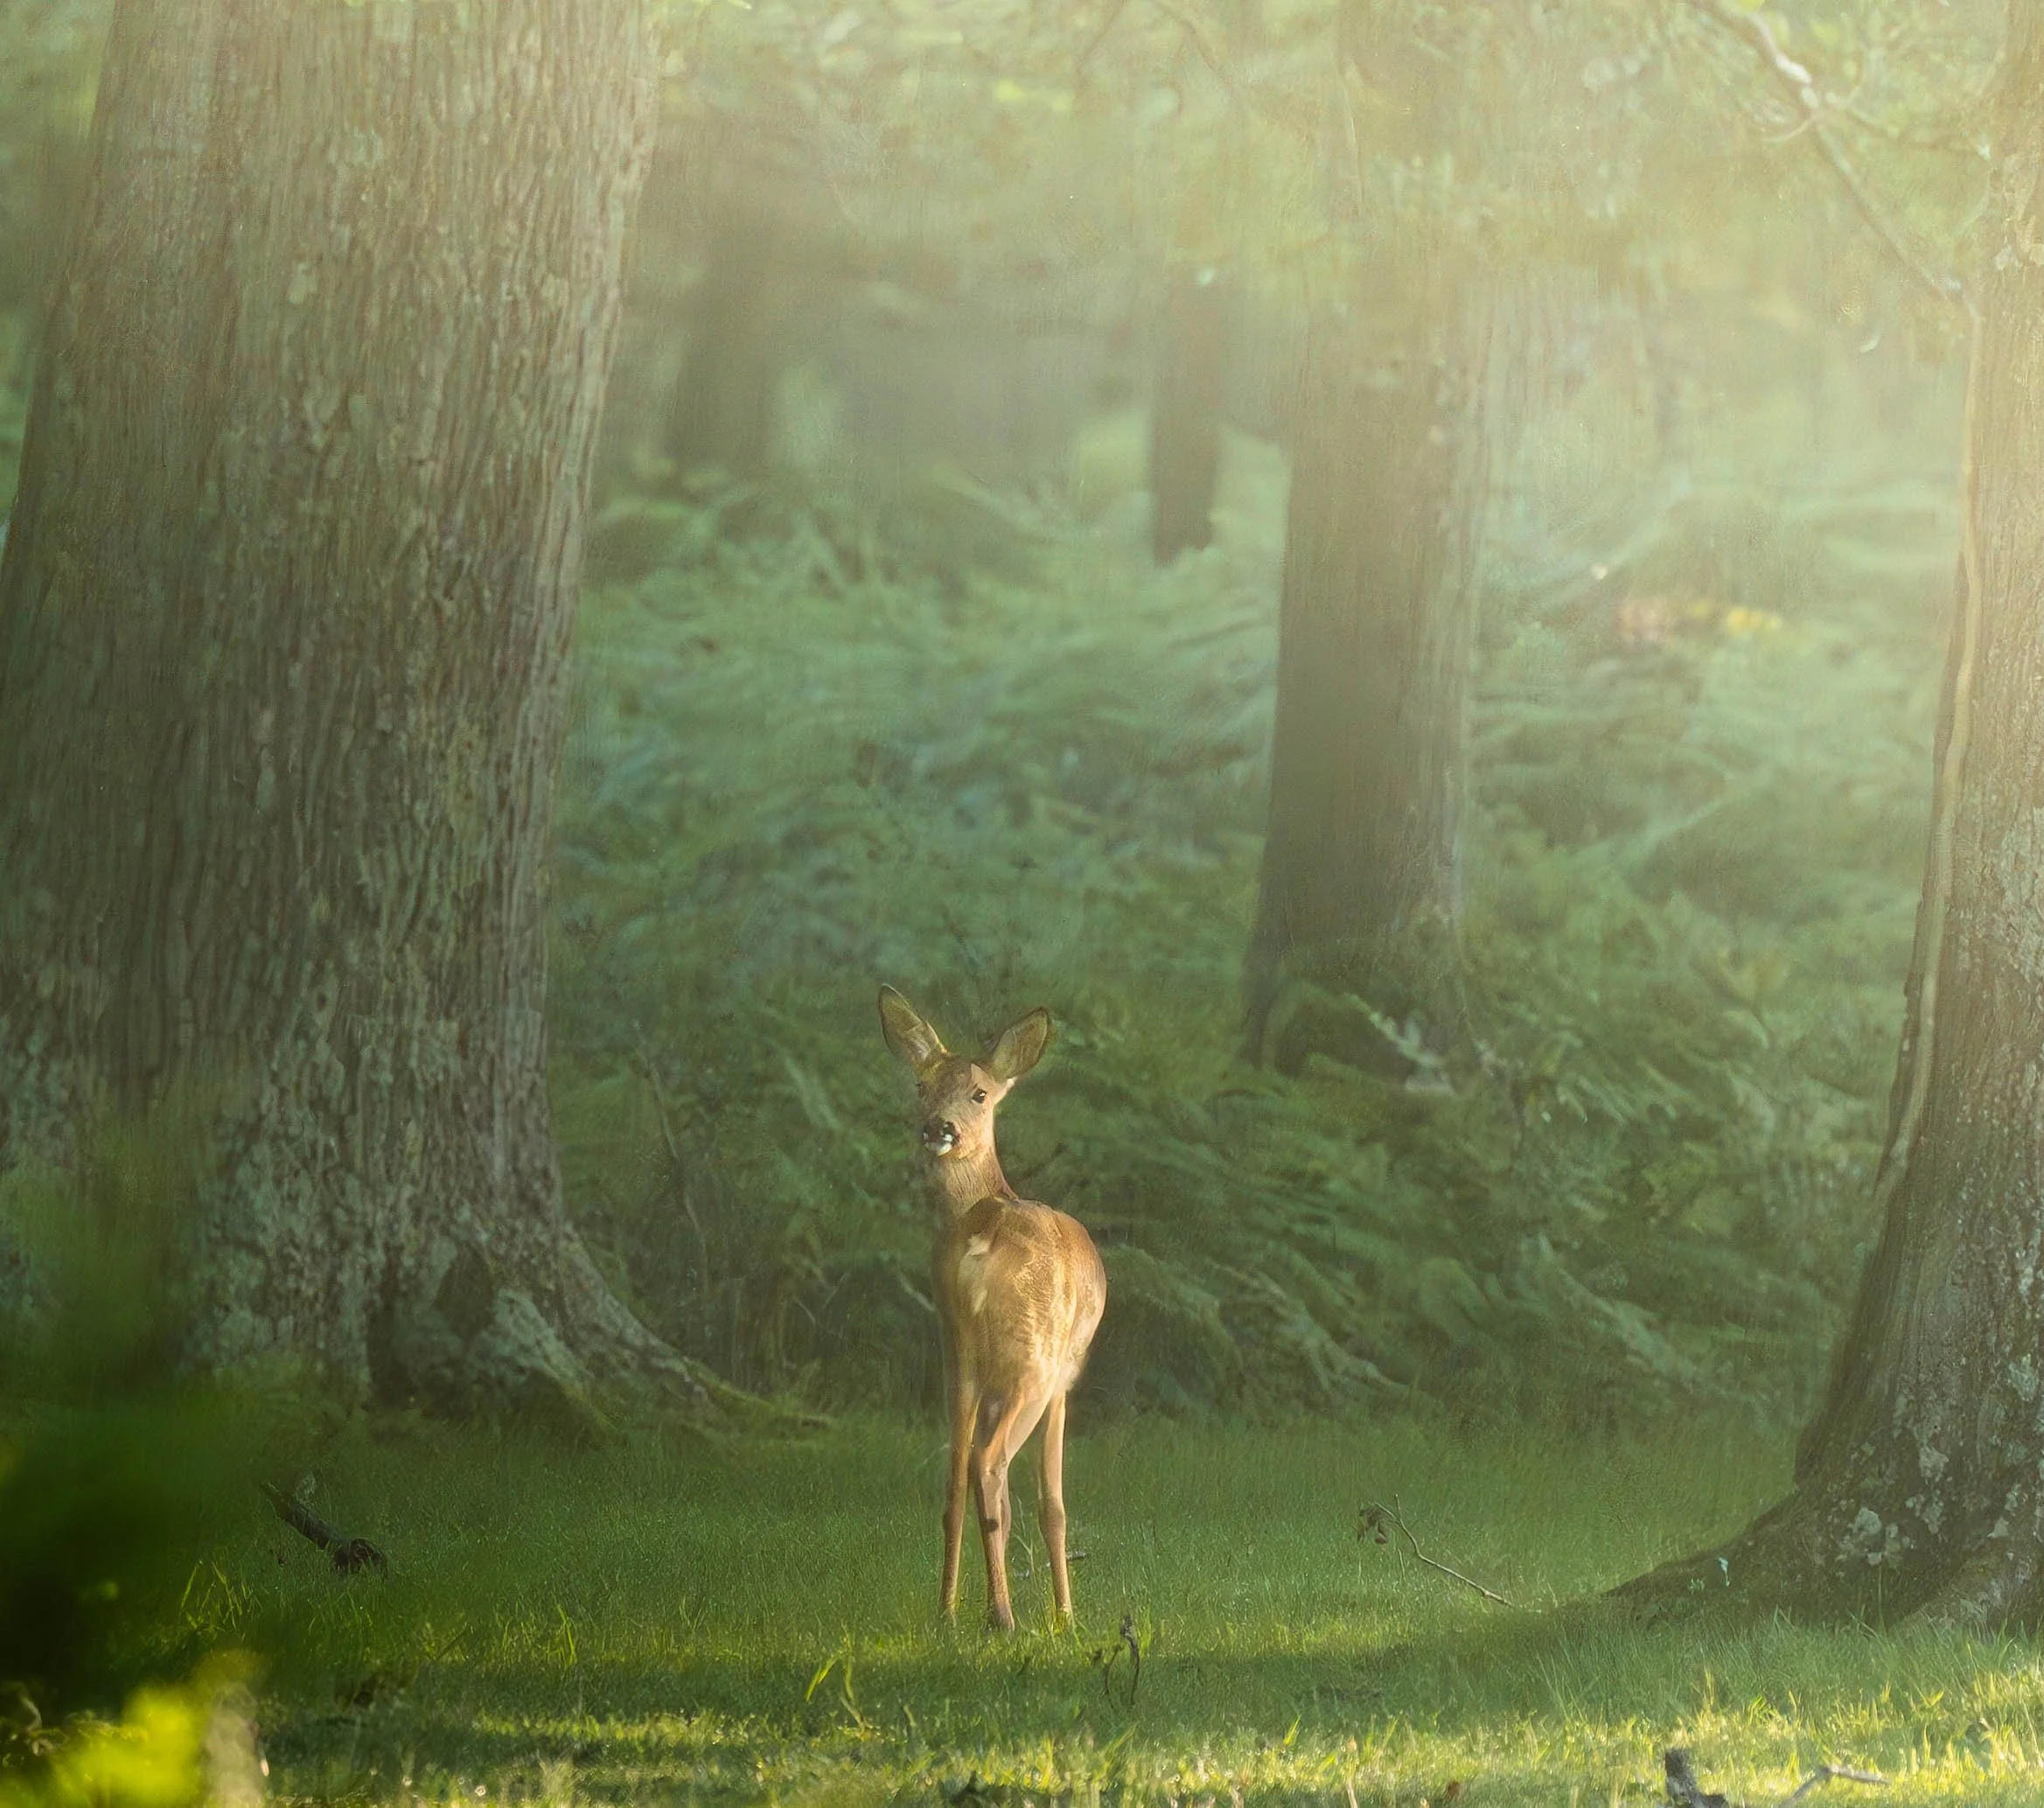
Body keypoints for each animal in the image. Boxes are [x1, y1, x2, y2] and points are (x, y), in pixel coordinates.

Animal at [878, 985, 1107, 1632]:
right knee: (990, 1461)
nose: (938, 1126)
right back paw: (1002, 1616)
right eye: (921, 1085)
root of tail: (983, 1239)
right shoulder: (1064, 1380)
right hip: (1031, 1356)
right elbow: (1052, 1502)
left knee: (956, 1472)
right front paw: (1065, 1616)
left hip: (957, 1350)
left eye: (978, 1092)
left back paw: (951, 1611)